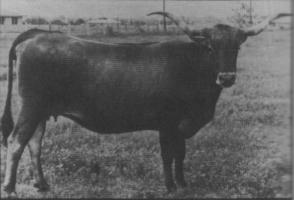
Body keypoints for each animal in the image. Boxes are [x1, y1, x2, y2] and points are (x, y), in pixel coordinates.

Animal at [1, 11, 292, 195]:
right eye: (210, 47)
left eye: (237, 47)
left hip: (40, 110)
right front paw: (170, 187)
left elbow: (180, 154)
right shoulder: (167, 123)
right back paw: (11, 188)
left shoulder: (179, 126)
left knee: (34, 143)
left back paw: (42, 185)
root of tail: (37, 34)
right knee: (16, 141)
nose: (227, 77)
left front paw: (183, 184)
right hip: (31, 107)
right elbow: (168, 154)